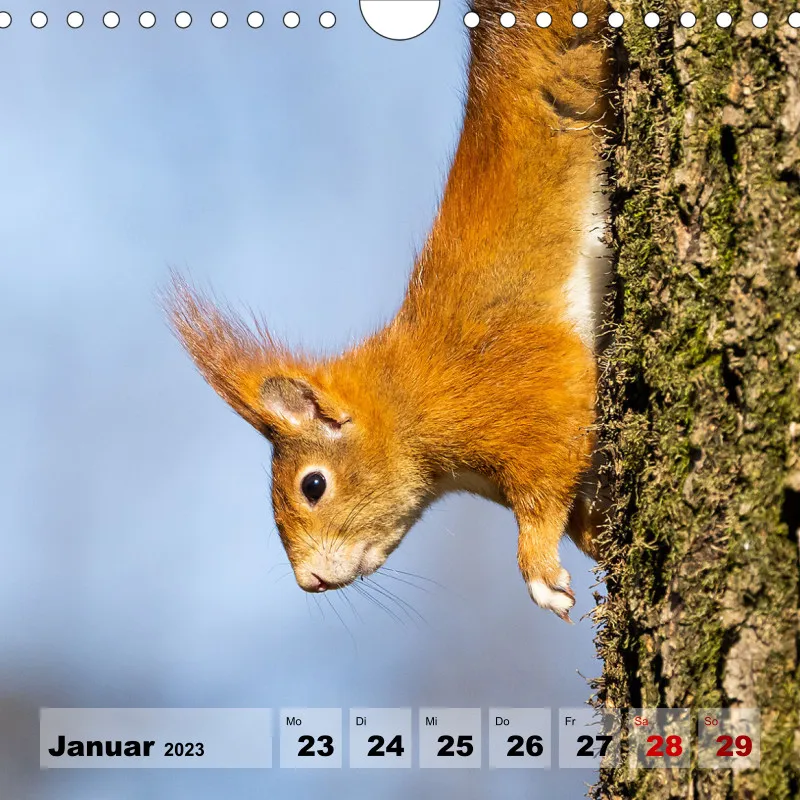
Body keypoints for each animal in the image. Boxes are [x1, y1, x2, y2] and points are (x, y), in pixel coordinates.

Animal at [166, 0, 610, 622]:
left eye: (313, 486)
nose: (309, 582)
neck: (407, 396)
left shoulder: (525, 387)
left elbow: (545, 485)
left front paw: (541, 571)